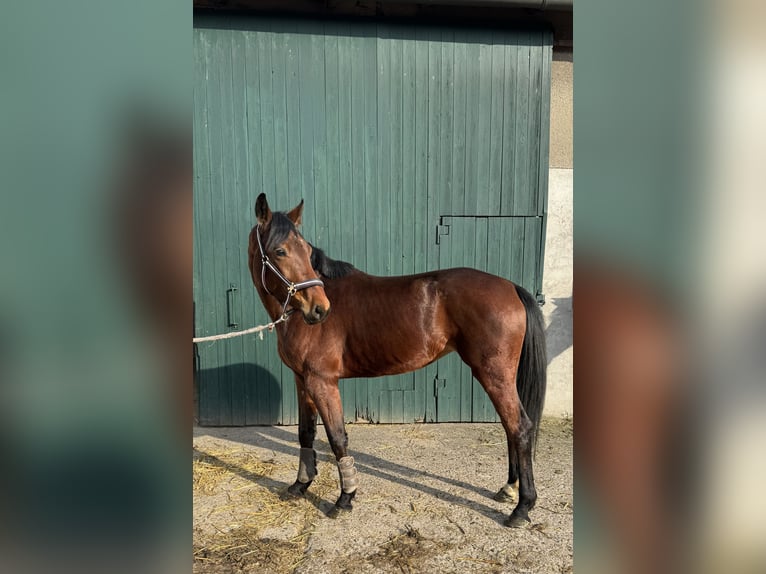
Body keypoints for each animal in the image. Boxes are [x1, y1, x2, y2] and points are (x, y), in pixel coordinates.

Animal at [248, 196, 544, 528]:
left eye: (306, 250)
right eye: (280, 250)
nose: (320, 308)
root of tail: (511, 287)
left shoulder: (322, 382)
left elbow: (337, 438)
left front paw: (345, 499)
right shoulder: (302, 380)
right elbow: (306, 433)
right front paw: (300, 486)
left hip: (494, 374)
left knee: (520, 427)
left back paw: (522, 507)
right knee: (510, 427)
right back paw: (509, 488)